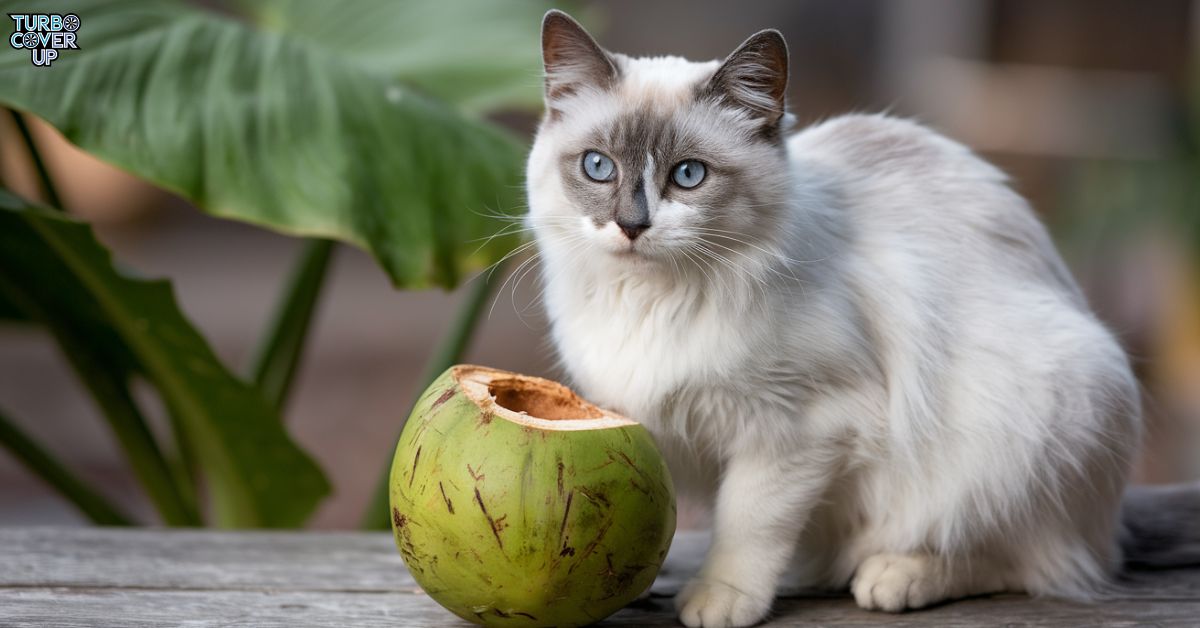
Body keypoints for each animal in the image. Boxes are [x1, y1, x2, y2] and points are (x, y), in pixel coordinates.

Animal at [523, 11, 1190, 628]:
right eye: (597, 167)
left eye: (688, 175)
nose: (631, 226)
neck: (651, 300)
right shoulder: (633, 419)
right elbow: (643, 513)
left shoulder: (799, 428)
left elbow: (747, 524)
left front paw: (719, 599)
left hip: (1037, 414)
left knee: (1023, 558)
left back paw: (894, 577)